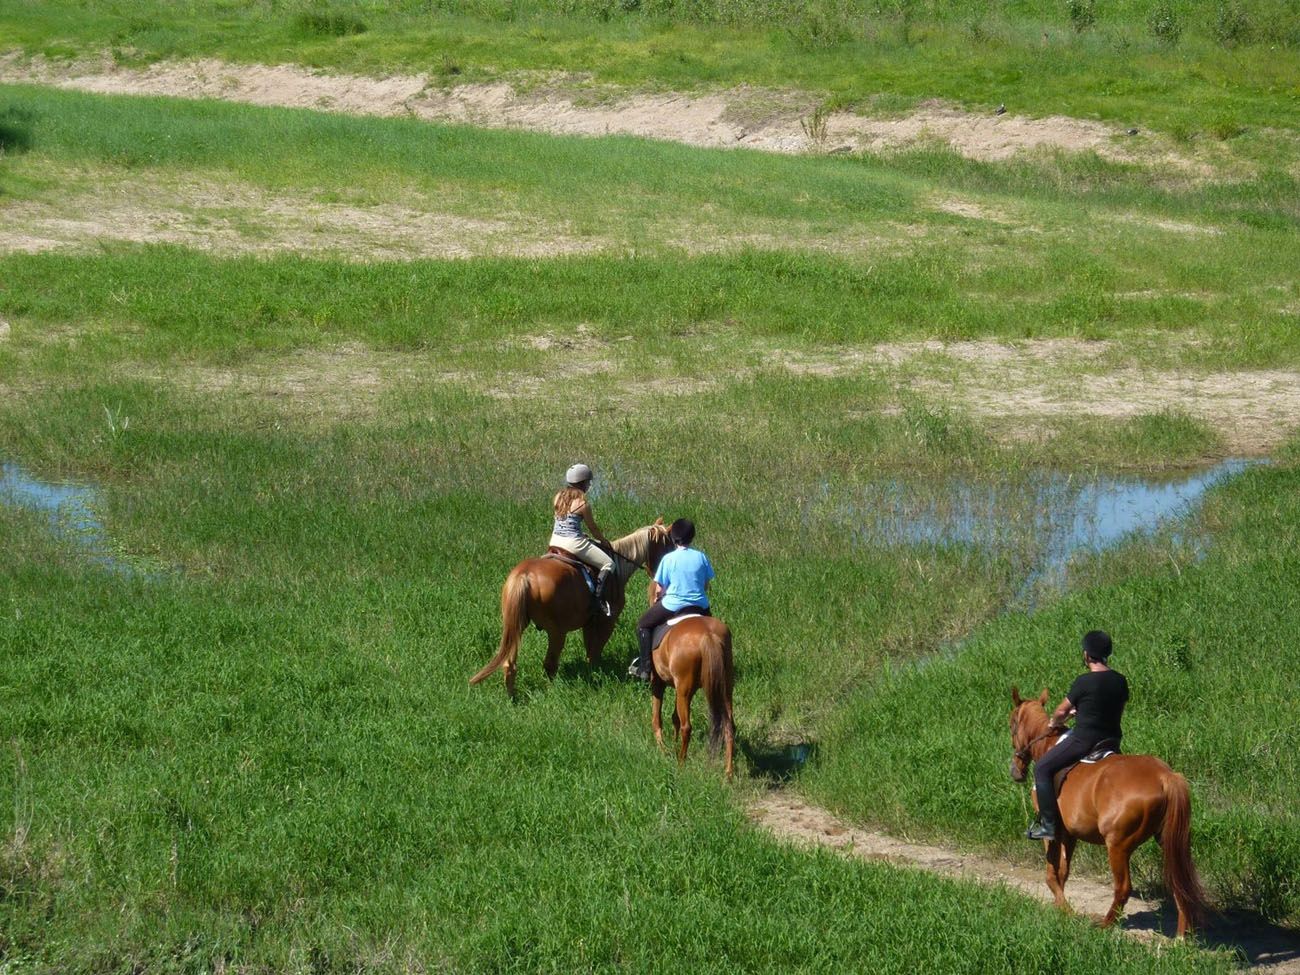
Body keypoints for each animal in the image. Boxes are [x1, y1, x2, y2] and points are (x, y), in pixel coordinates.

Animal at [467, 522, 670, 696]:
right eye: (667, 545)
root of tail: (524, 576)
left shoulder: (589, 623)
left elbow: (590, 649)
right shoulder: (606, 622)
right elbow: (594, 652)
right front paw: (595, 673)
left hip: (516, 627)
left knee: (509, 664)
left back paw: (512, 696)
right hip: (557, 631)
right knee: (549, 663)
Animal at [647, 618, 733, 780]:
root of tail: (708, 635)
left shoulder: (658, 682)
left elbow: (657, 718)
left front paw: (664, 749)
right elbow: (674, 717)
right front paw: (673, 744)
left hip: (684, 690)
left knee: (686, 727)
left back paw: (681, 763)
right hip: (725, 689)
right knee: (729, 726)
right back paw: (728, 773)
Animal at [1008, 686, 1211, 941]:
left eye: (1012, 724)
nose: (1016, 771)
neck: (1048, 744)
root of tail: (1166, 776)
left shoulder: (1053, 832)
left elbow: (1051, 873)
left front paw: (1066, 911)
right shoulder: (1069, 833)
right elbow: (1063, 871)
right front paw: (1060, 909)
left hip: (1118, 845)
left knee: (1123, 887)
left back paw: (1105, 925)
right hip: (1169, 840)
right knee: (1178, 883)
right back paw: (1182, 936)